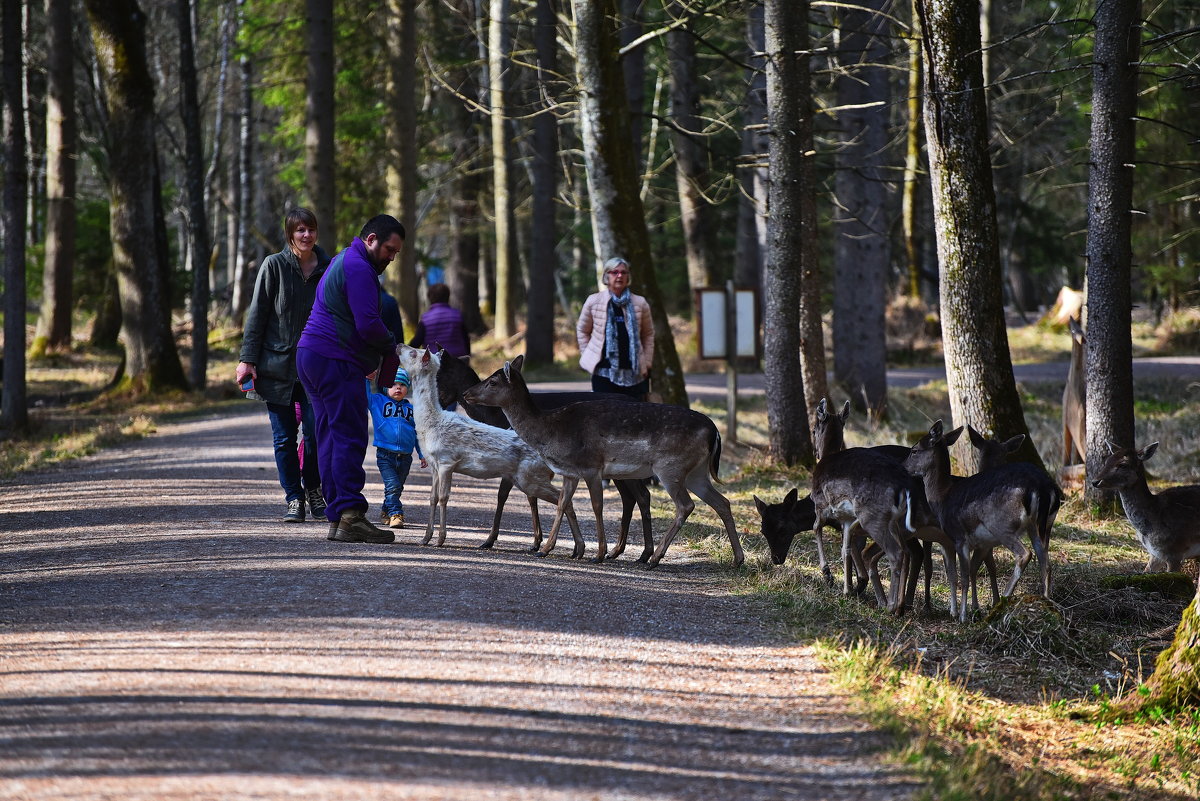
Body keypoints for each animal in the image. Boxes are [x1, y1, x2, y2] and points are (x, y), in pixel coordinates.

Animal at [434, 347, 657, 561]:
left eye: (439, 376)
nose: (465, 393)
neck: (495, 417)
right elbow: (532, 496)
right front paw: (538, 542)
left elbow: (504, 495)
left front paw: (491, 540)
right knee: (630, 497)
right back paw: (618, 550)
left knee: (641, 495)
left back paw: (643, 553)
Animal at [463, 352, 744, 565]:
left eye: (492, 382)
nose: (466, 393)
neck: (550, 430)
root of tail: (714, 431)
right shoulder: (570, 473)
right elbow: (562, 504)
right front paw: (546, 549)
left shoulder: (591, 466)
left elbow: (596, 505)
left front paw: (597, 554)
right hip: (696, 472)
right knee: (722, 502)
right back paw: (737, 559)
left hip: (670, 467)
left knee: (686, 505)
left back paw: (654, 559)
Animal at [1089, 441, 1200, 592]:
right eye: (1107, 461)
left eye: (1123, 464)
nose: (1095, 481)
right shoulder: (1155, 554)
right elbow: (1146, 571)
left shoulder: (1175, 551)